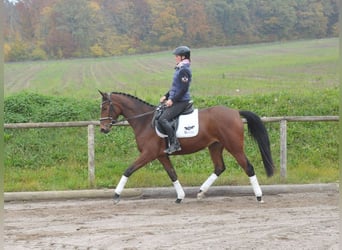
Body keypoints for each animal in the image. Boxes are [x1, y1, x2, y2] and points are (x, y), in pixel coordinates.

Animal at [99, 91, 276, 204]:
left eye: (105, 108)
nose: (103, 129)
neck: (145, 121)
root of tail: (235, 112)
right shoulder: (161, 155)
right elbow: (172, 174)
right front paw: (180, 197)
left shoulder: (149, 154)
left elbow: (128, 170)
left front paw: (116, 195)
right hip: (215, 146)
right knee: (219, 167)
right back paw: (201, 192)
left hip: (235, 147)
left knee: (248, 167)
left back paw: (259, 197)